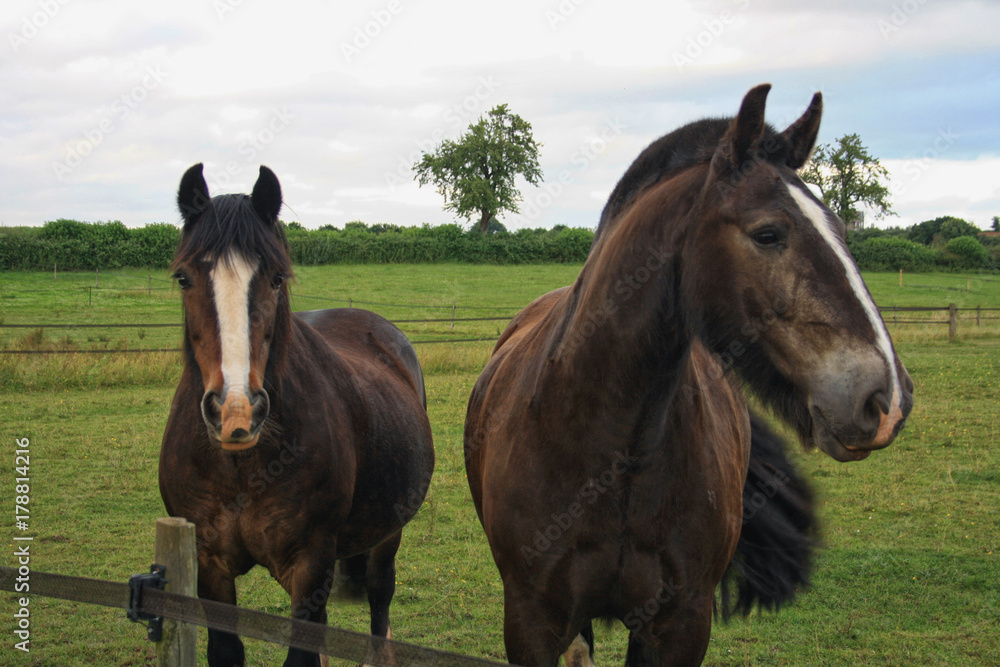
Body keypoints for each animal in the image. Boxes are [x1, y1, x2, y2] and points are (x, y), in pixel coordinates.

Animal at [159, 164, 434, 667]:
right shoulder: (209, 563)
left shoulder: (311, 563)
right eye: (185, 279)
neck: (243, 466)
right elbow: (228, 650)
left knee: (379, 601)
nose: (236, 411)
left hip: (388, 535)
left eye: (275, 278)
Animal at [464, 84, 913, 667]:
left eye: (842, 229)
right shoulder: (530, 622)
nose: (886, 399)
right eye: (768, 234)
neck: (613, 454)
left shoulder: (679, 624)